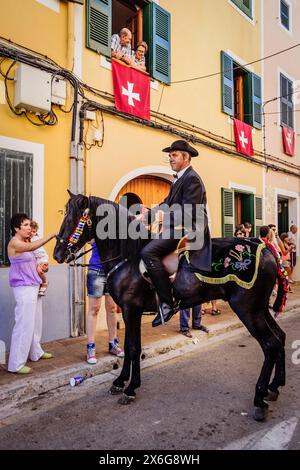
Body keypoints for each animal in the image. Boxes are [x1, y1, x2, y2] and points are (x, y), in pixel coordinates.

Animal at [53, 193, 286, 420]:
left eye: (73, 218)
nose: (57, 253)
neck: (128, 257)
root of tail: (266, 249)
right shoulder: (129, 311)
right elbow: (128, 347)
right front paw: (121, 382)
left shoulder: (131, 310)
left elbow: (133, 348)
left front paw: (130, 388)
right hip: (259, 308)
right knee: (280, 337)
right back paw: (274, 387)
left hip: (247, 309)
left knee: (270, 344)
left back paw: (259, 399)